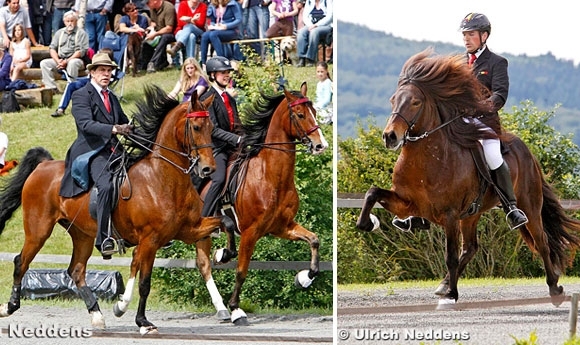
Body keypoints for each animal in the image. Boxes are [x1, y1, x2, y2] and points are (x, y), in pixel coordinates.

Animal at [0, 85, 238, 334]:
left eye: (212, 128)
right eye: (196, 127)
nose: (208, 169)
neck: (162, 178)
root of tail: (43, 165)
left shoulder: (190, 229)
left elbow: (227, 223)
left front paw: (223, 253)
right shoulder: (150, 240)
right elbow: (144, 283)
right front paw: (140, 320)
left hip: (82, 235)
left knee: (76, 270)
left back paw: (97, 316)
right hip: (38, 230)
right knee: (21, 262)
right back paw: (9, 306)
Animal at [201, 82, 328, 324]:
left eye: (315, 112)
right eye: (300, 114)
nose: (321, 145)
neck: (270, 177)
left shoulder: (282, 227)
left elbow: (314, 240)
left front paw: (303, 278)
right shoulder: (250, 232)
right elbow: (241, 270)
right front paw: (236, 310)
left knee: (203, 264)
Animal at [356, 49, 580, 306]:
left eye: (415, 102)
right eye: (393, 100)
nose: (390, 136)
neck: (427, 159)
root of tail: (527, 151)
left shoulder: (450, 214)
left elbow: (450, 256)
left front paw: (452, 295)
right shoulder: (406, 203)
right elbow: (372, 192)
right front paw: (367, 223)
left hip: (528, 205)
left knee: (541, 241)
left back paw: (554, 288)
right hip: (472, 213)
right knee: (471, 247)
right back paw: (444, 284)